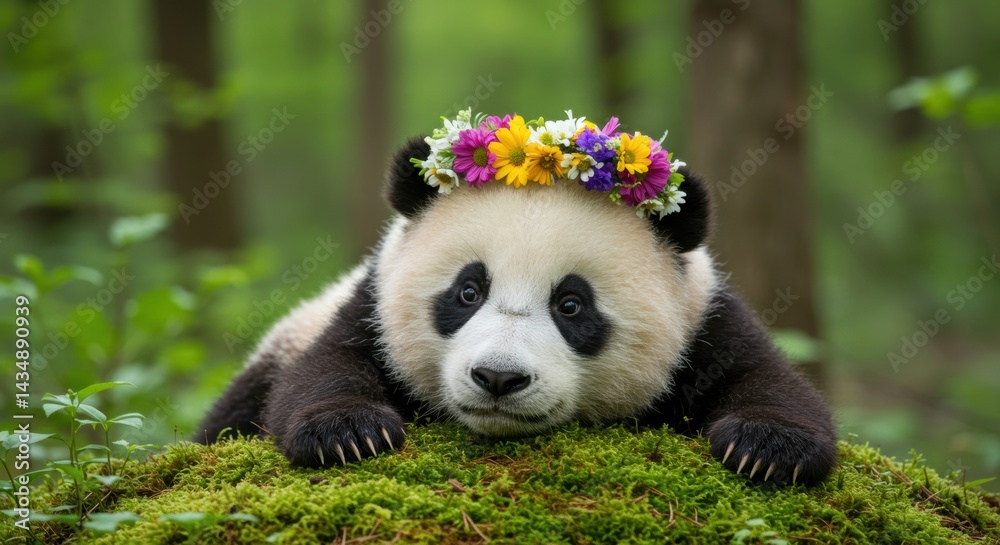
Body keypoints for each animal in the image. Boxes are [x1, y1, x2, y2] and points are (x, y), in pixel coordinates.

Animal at [197, 130, 838, 487]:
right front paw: (348, 433)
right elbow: (323, 371)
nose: (498, 378)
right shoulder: (369, 306)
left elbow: (765, 379)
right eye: (468, 292)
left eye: (572, 305)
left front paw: (768, 450)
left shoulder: (704, 320)